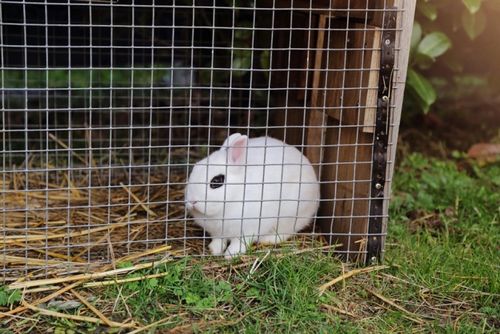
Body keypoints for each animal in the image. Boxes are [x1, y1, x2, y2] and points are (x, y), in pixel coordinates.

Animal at [185, 133, 320, 258]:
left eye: (217, 181)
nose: (192, 201)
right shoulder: (217, 232)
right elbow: (218, 240)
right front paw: (214, 250)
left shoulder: (249, 229)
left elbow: (239, 242)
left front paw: (231, 254)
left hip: (291, 215)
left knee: (286, 231)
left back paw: (268, 239)